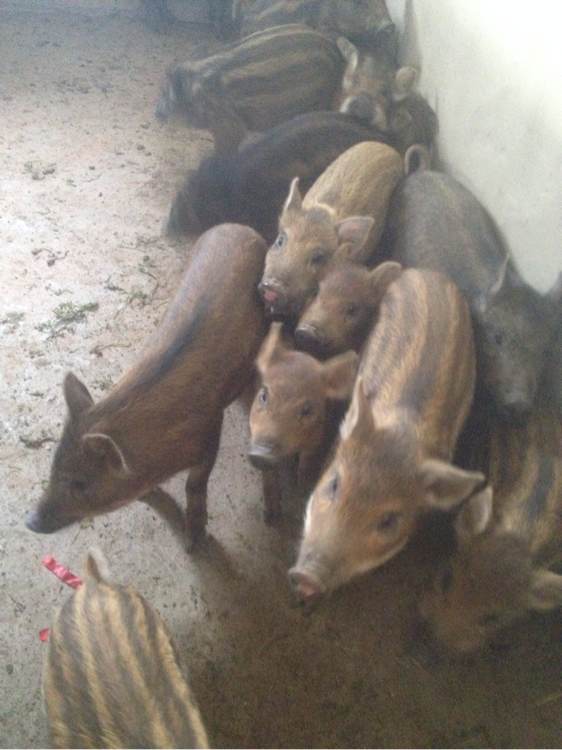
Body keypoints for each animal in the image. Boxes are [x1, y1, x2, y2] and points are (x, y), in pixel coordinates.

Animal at [26, 224, 266, 550]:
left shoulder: (211, 430)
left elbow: (196, 483)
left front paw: (193, 542)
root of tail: (238, 226)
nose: (30, 522)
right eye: (52, 467)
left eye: (80, 483)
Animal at [249, 322, 358, 521]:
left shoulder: (316, 439)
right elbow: (268, 475)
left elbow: (306, 466)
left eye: (307, 410)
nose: (261, 453)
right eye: (264, 395)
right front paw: (271, 517)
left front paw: (303, 491)